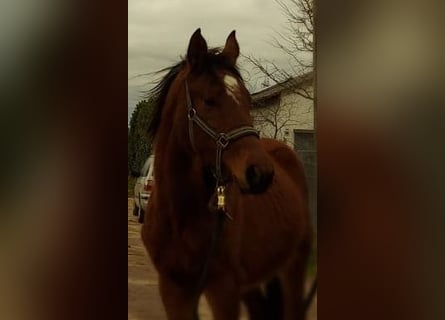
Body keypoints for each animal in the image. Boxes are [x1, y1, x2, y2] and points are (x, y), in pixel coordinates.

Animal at [141, 28, 312, 318]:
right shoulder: (174, 290)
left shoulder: (224, 289)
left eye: (248, 101)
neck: (180, 214)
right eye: (209, 101)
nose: (261, 174)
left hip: (293, 267)